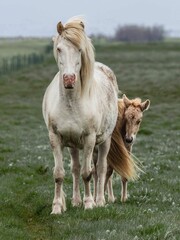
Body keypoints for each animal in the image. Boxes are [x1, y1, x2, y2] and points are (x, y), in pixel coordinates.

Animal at [41, 16, 119, 214]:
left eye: (79, 49)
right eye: (59, 48)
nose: (69, 79)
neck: (71, 101)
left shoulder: (90, 139)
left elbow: (88, 173)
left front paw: (89, 203)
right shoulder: (55, 137)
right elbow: (60, 174)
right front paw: (57, 207)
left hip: (104, 141)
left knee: (100, 168)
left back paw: (99, 200)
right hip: (73, 144)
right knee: (75, 169)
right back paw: (76, 201)